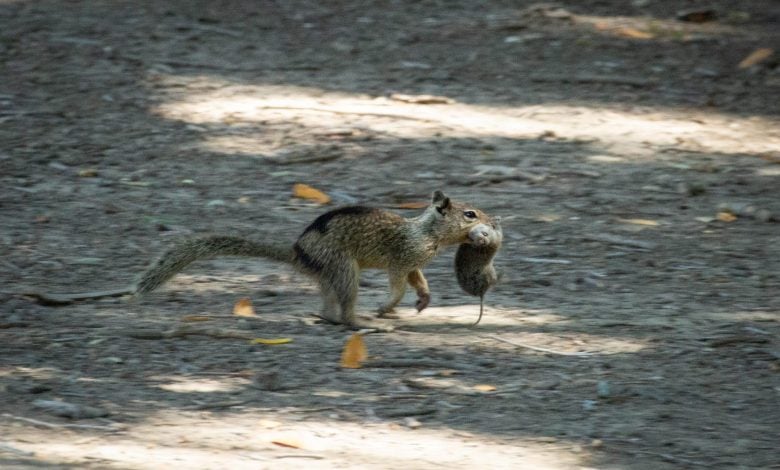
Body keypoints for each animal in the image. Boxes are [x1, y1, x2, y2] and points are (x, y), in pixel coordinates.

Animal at [133, 191, 488, 326]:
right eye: (470, 214)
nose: (492, 221)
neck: (427, 232)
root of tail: (298, 252)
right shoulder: (402, 259)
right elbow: (399, 285)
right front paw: (387, 306)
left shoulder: (414, 263)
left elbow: (419, 281)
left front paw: (423, 300)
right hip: (345, 269)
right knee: (345, 309)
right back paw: (362, 322)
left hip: (331, 274)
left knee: (328, 307)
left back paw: (328, 317)